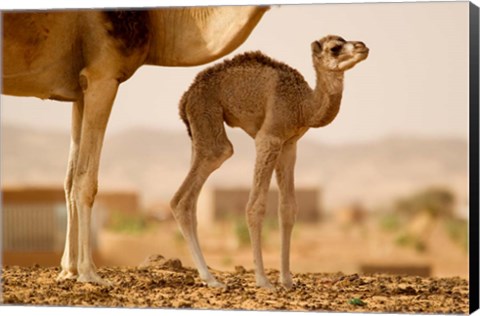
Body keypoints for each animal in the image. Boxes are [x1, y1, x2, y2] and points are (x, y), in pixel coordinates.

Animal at [171, 35, 370, 288]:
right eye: (335, 48)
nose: (362, 46)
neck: (303, 106)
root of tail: (186, 97)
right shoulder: (269, 137)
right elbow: (255, 206)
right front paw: (263, 280)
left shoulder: (289, 144)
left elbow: (288, 208)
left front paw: (287, 280)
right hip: (207, 115)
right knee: (193, 185)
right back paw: (212, 279)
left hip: (198, 129)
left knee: (191, 198)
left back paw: (208, 276)